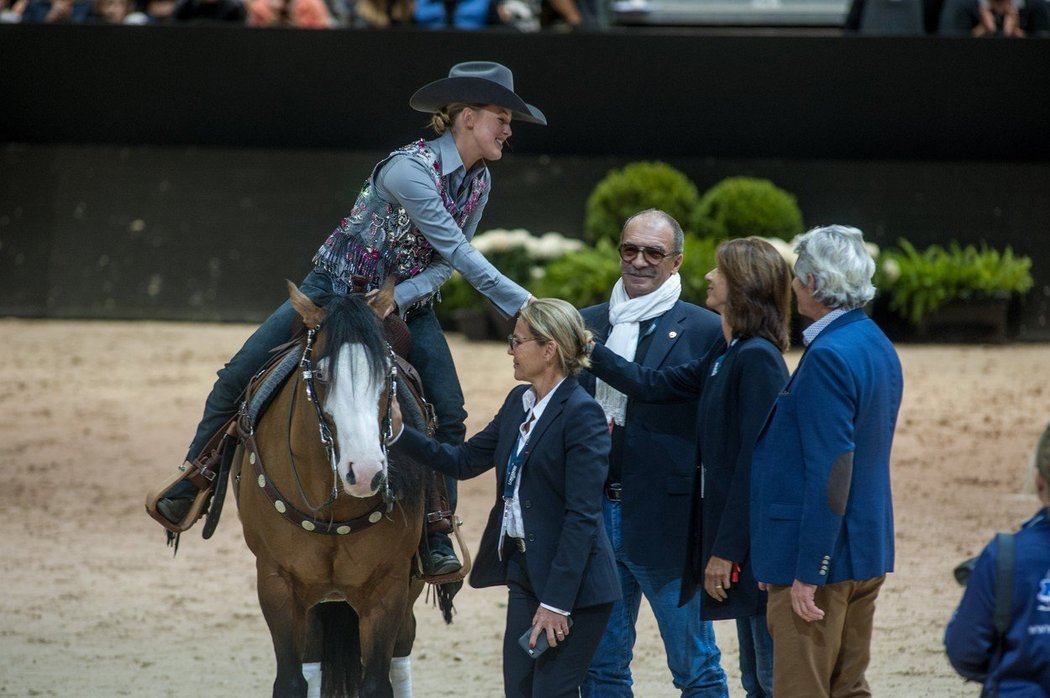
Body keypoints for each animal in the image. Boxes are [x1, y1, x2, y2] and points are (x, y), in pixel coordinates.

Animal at [234, 279, 426, 696]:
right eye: (321, 375)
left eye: (387, 371)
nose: (366, 472)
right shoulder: (276, 583)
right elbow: (290, 681)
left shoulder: (389, 586)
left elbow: (377, 683)